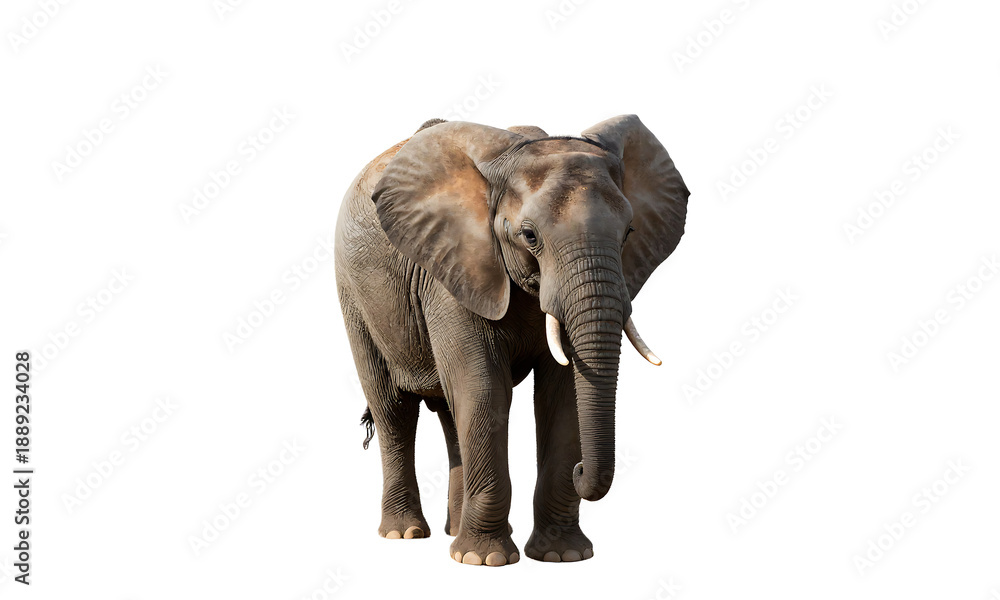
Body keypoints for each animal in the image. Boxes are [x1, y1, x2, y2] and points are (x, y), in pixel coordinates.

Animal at [335, 114, 689, 566]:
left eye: (628, 233)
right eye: (529, 236)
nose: (581, 472)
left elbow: (562, 396)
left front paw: (562, 556)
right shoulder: (453, 270)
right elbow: (484, 389)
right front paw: (484, 560)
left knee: (451, 415)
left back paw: (452, 532)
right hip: (356, 298)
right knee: (394, 411)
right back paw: (406, 534)